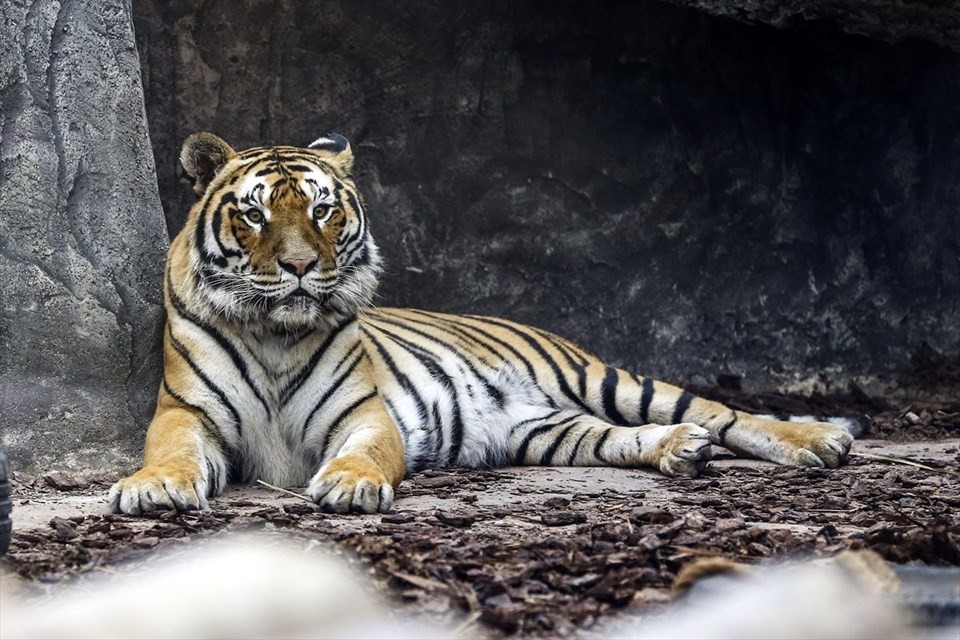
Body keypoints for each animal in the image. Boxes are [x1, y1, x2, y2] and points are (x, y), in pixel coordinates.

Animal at [109, 131, 860, 516]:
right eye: (255, 213)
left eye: (323, 209)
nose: (298, 266)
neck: (276, 333)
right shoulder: (186, 415)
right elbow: (170, 452)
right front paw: (152, 487)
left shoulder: (364, 414)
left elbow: (365, 452)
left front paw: (351, 485)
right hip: (543, 430)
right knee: (624, 437)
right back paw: (679, 450)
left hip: (604, 378)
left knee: (724, 414)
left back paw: (821, 439)